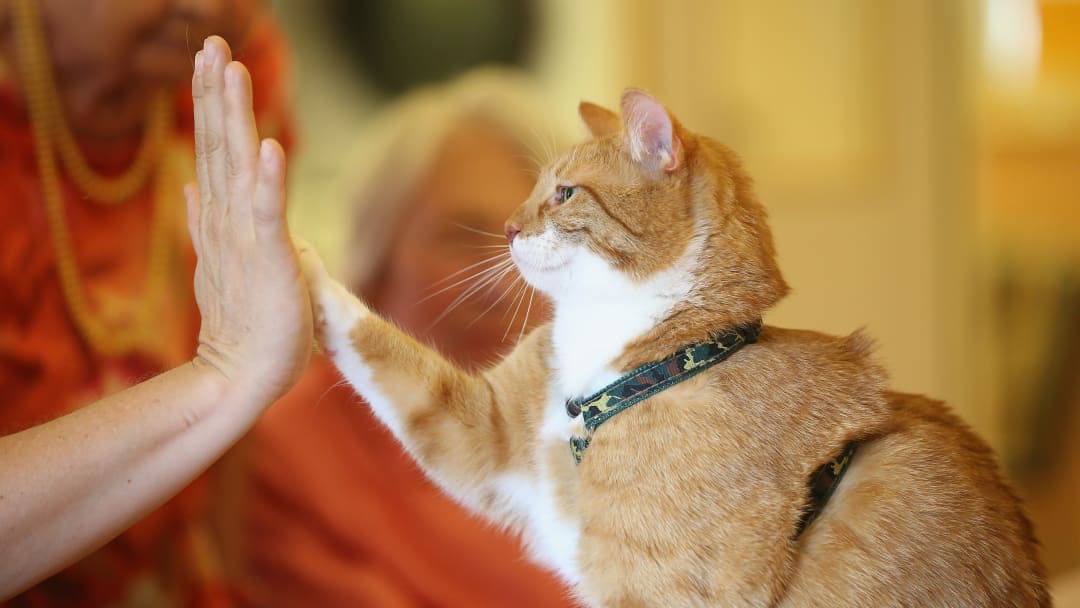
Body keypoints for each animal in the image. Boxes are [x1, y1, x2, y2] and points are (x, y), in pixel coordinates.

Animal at [295, 88, 1045, 604]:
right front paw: (292, 249)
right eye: (533, 191)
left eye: (563, 194)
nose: (506, 228)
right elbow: (386, 352)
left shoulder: (656, 588)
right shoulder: (486, 433)